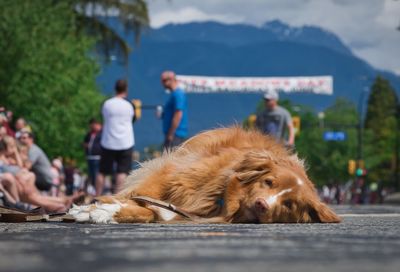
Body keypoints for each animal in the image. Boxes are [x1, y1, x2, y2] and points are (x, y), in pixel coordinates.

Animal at [69, 126, 340, 224]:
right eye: (268, 182)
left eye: (289, 204)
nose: (262, 205)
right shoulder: (172, 176)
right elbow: (138, 197)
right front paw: (92, 209)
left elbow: (149, 211)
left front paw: (103, 212)